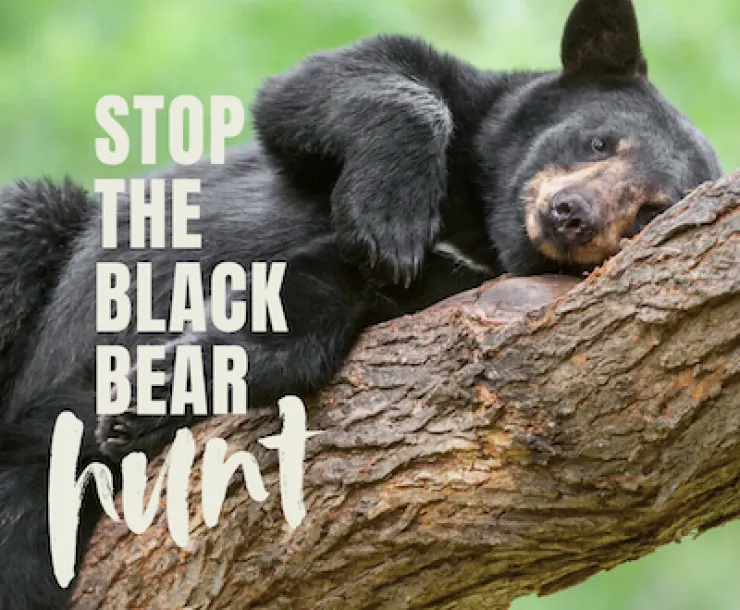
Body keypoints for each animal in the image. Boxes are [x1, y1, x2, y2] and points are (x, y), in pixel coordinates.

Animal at [0, 0, 723, 608]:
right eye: (600, 141)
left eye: (650, 211)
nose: (570, 214)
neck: (484, 231)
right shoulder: (466, 112)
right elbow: (334, 81)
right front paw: (388, 217)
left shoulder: (447, 290)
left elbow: (306, 309)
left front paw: (146, 398)